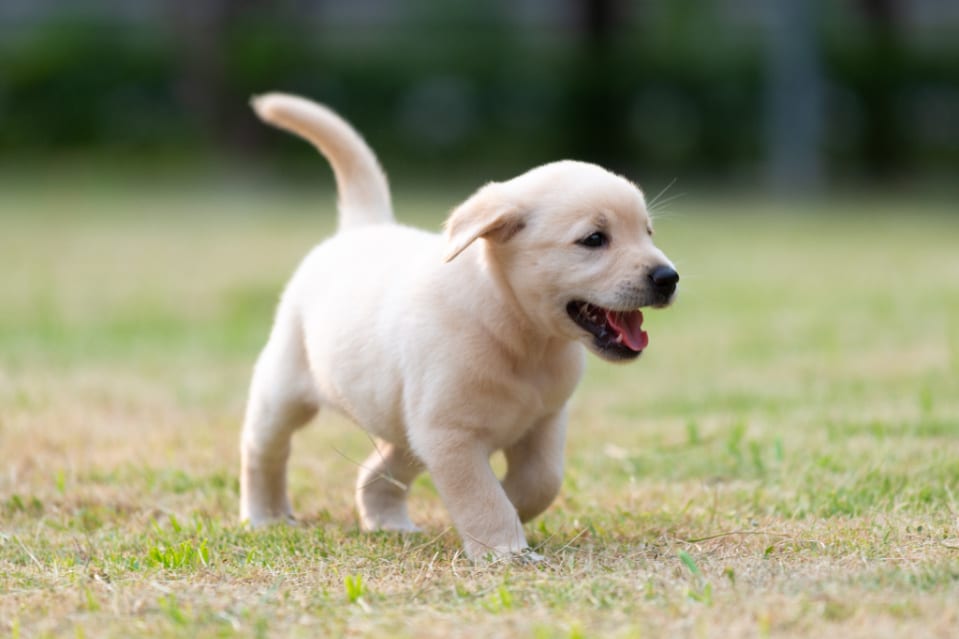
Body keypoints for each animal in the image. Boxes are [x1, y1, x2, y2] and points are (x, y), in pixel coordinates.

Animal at [238, 92, 676, 564]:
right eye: (594, 239)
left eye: (648, 231)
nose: (668, 277)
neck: (519, 335)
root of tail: (364, 227)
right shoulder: (451, 438)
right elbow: (482, 496)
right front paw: (505, 551)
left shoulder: (542, 422)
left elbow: (541, 481)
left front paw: (510, 510)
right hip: (284, 391)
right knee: (264, 451)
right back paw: (264, 516)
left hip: (407, 430)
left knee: (377, 474)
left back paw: (388, 523)